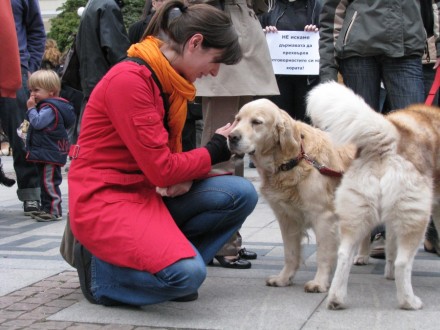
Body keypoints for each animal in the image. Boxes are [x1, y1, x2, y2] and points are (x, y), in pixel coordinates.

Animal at [227, 97, 354, 292]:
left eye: (256, 122)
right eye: (238, 119)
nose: (231, 137)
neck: (293, 160)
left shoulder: (323, 216)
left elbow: (323, 254)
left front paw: (319, 282)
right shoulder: (286, 218)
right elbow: (290, 253)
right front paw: (283, 278)